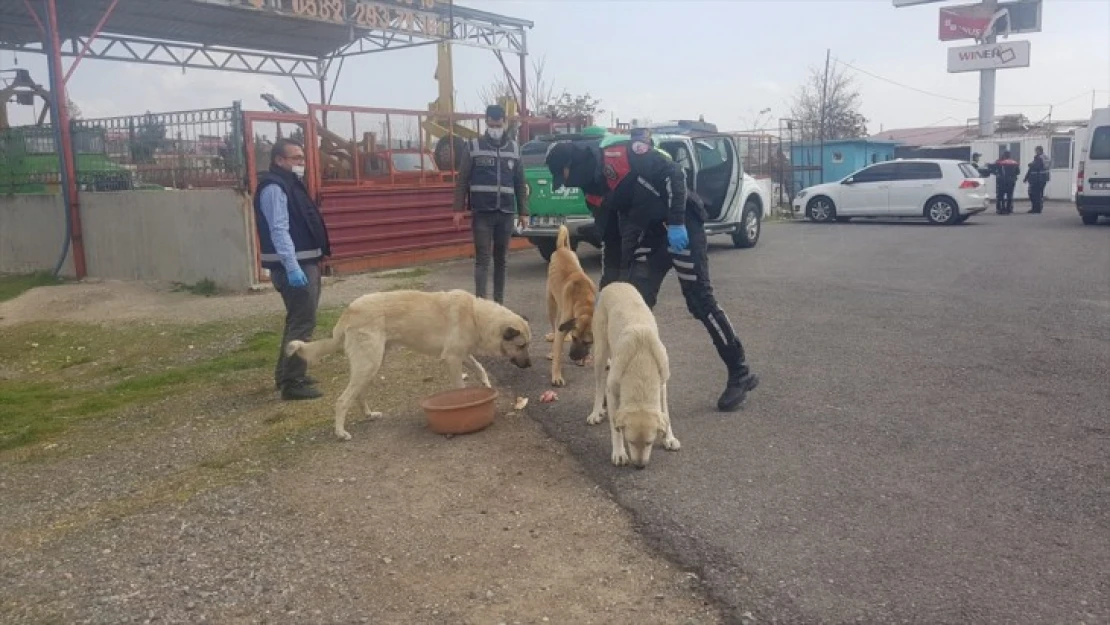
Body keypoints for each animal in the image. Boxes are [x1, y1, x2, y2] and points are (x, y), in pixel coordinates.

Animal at [284, 288, 530, 439]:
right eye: (521, 346)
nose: (528, 366)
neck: (476, 316)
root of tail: (349, 311)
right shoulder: (452, 358)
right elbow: (460, 389)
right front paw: (465, 406)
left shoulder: (463, 355)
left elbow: (481, 370)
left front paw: (487, 388)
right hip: (369, 364)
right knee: (342, 400)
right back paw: (340, 433)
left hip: (372, 365)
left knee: (358, 394)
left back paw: (369, 415)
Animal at [546, 222, 599, 384]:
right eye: (575, 338)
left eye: (587, 342)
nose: (573, 357)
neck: (584, 302)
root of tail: (562, 248)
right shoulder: (562, 329)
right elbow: (558, 354)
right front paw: (556, 375)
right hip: (551, 304)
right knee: (554, 326)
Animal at [586, 280, 679, 466]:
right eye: (631, 441)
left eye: (650, 442)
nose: (640, 466)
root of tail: (615, 283)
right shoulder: (612, 390)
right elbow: (615, 428)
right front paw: (619, 452)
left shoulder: (662, 384)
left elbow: (665, 412)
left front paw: (669, 438)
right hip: (600, 353)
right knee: (599, 386)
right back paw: (596, 412)